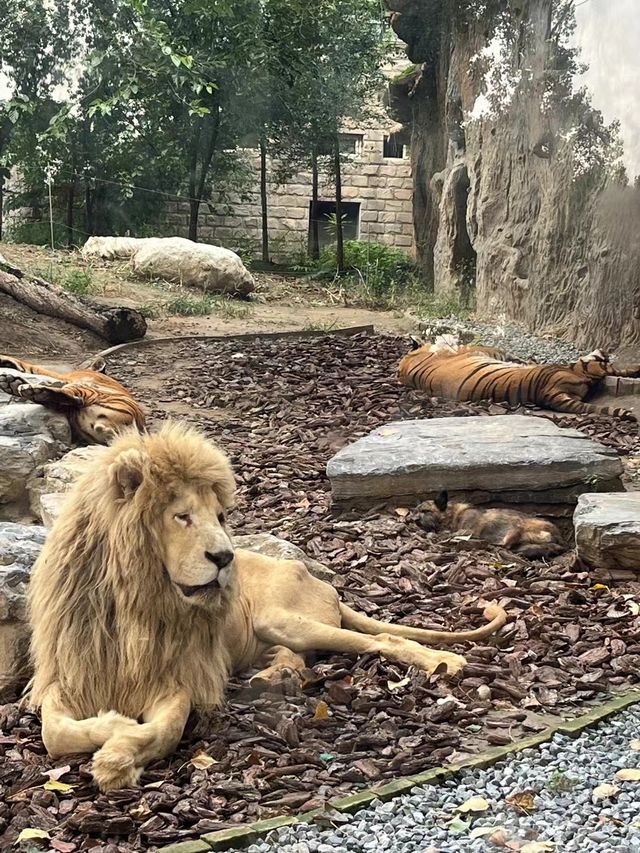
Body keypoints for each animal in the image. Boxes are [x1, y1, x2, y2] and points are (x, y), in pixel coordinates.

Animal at [0, 354, 144, 446]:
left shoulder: (63, 376)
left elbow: (32, 367)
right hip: (74, 415)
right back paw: (12, 384)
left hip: (86, 391)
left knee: (74, 398)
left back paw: (29, 389)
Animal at [30, 422, 508, 788]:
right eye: (182, 516)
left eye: (220, 517)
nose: (225, 558)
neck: (133, 608)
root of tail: (320, 580)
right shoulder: (68, 678)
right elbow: (56, 733)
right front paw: (116, 728)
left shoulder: (176, 678)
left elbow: (166, 729)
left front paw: (117, 758)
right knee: (296, 658)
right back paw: (271, 678)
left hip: (282, 619)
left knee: (379, 640)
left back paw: (444, 662)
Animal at [416, 492, 564, 560]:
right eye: (415, 511)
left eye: (426, 511)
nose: (414, 520)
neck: (453, 515)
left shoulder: (467, 530)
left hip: (515, 528)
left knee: (504, 546)